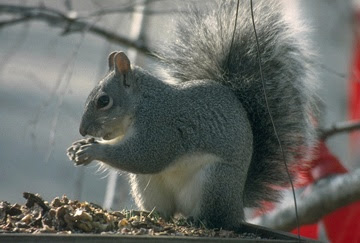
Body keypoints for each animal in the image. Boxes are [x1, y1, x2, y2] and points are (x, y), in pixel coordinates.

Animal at [67, 0, 318, 229]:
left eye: (103, 101)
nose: (82, 130)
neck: (141, 104)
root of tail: (237, 206)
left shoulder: (160, 126)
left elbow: (145, 156)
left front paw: (92, 149)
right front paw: (80, 146)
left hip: (214, 181)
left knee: (214, 218)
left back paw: (198, 220)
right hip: (149, 186)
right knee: (165, 212)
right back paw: (146, 215)